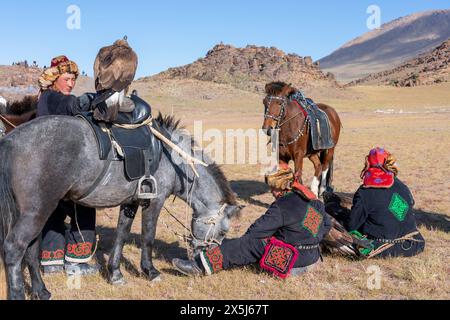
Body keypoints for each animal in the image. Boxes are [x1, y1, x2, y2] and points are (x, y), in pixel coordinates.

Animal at [0, 113, 243, 300]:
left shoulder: (130, 203)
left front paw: (115, 273)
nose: (205, 259)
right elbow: (148, 237)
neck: (173, 161)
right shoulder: (155, 202)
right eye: (223, 231)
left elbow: (121, 235)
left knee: (31, 250)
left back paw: (42, 291)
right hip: (37, 211)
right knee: (14, 248)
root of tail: (11, 140)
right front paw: (150, 271)